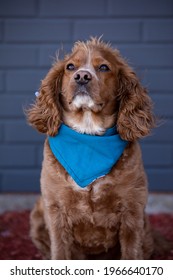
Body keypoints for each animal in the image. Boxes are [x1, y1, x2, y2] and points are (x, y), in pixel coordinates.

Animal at [27, 37, 155, 260]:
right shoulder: (55, 210)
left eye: (104, 67)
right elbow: (59, 253)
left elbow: (131, 253)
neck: (88, 135)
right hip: (37, 215)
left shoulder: (133, 210)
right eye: (70, 67)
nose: (82, 76)